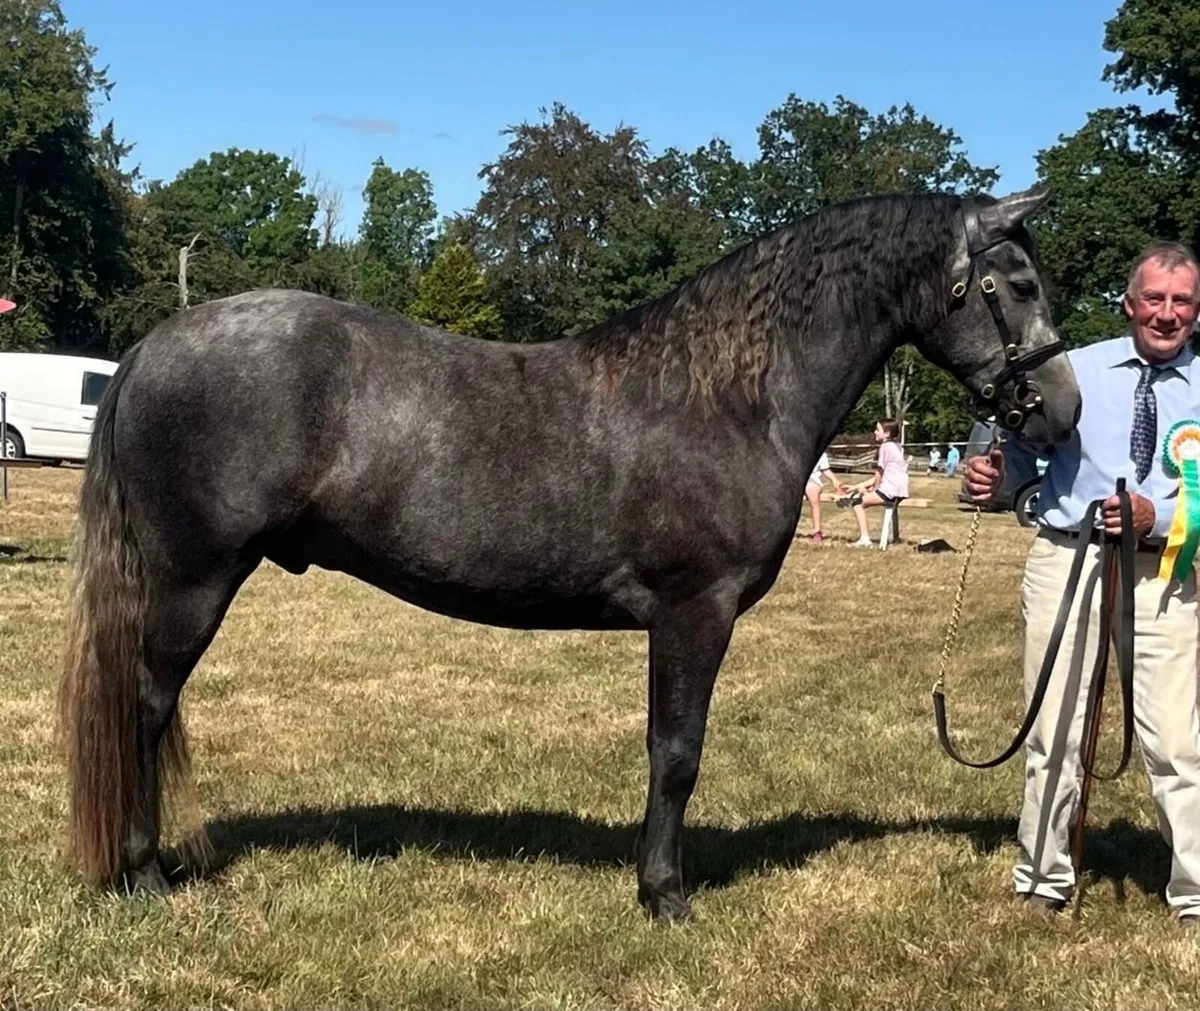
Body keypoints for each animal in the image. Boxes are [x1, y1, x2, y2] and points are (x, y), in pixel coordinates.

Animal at [57, 185, 1081, 919]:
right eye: (1020, 285)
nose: (1062, 413)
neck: (728, 395)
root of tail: (152, 347)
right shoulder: (694, 612)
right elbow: (677, 752)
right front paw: (665, 896)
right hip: (193, 582)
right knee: (145, 706)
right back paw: (145, 876)